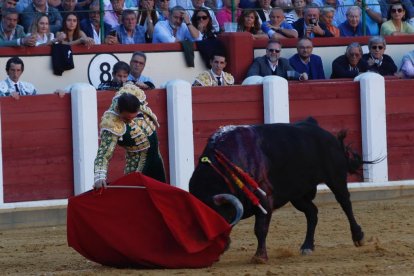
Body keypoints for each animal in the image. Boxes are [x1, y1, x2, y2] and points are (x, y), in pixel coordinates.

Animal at [189, 117, 368, 264]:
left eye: (219, 217)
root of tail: (323, 131)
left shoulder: (264, 199)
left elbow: (260, 228)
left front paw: (260, 257)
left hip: (336, 179)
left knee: (345, 203)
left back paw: (358, 237)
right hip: (298, 195)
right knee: (312, 212)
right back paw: (307, 246)